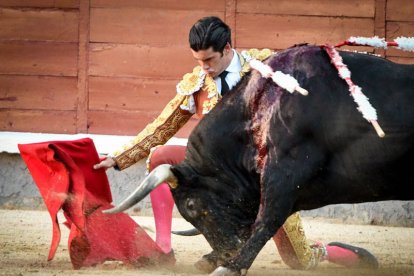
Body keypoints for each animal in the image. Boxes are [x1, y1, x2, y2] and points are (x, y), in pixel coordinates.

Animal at [106, 45, 414, 274]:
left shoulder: (286, 172)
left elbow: (267, 218)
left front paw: (231, 266)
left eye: (191, 205)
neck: (259, 107)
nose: (226, 252)